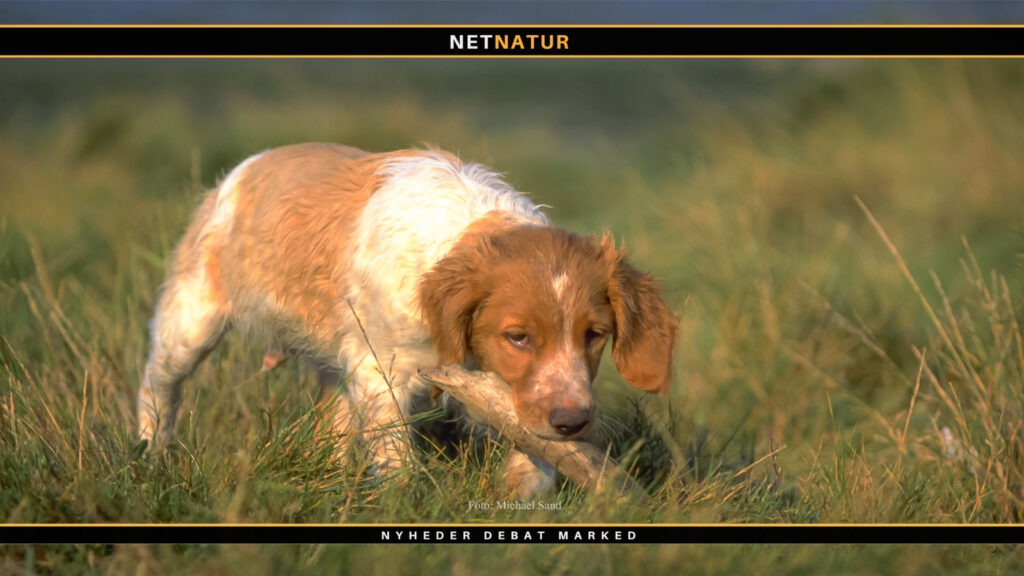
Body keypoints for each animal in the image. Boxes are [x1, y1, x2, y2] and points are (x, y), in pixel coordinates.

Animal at [137, 143, 678, 496]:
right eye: (518, 337)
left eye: (595, 335)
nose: (573, 422)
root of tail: (249, 165)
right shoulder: (382, 370)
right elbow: (395, 452)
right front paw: (403, 500)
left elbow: (533, 445)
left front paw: (522, 490)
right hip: (190, 319)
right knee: (158, 384)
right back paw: (149, 454)